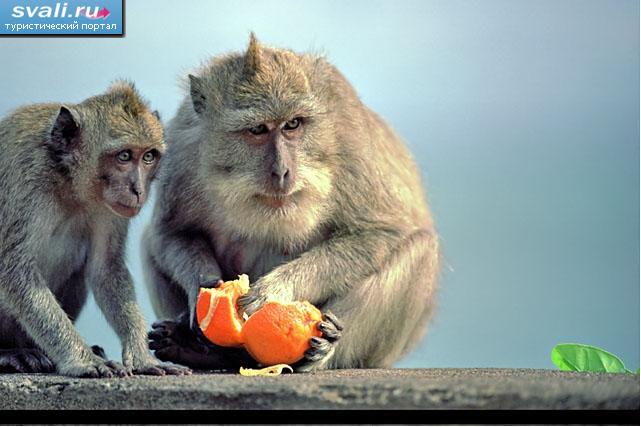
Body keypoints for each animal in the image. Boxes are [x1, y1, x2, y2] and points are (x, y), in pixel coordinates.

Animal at [0, 82, 191, 377]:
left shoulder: (108, 207)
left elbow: (106, 267)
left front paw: (142, 358)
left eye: (148, 156)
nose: (138, 190)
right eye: (124, 156)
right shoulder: (26, 180)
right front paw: (84, 360)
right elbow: (14, 271)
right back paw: (11, 352)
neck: (67, 179)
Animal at [144, 33, 440, 372]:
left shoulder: (349, 142)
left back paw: (326, 352)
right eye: (257, 129)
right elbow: (171, 233)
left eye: (293, 124)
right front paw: (204, 287)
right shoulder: (182, 149)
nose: (282, 171)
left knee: (420, 247)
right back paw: (202, 351)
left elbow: (382, 232)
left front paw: (276, 288)